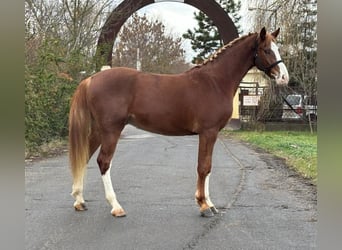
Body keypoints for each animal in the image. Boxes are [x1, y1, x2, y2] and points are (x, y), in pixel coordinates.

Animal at [69, 27, 288, 217]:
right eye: (267, 49)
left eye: (278, 48)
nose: (284, 77)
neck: (215, 81)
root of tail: (90, 79)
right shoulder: (208, 132)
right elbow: (203, 167)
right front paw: (203, 205)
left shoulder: (211, 133)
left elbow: (208, 167)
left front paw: (209, 203)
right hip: (111, 130)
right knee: (103, 162)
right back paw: (116, 207)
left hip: (98, 130)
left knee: (85, 157)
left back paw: (79, 201)